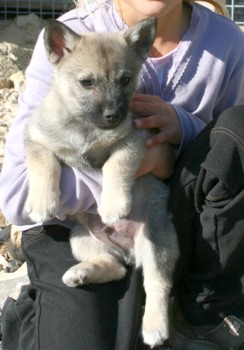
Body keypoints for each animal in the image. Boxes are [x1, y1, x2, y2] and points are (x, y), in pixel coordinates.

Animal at [23, 19, 178, 348]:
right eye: (86, 83)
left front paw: (113, 204)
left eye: (125, 80)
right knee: (115, 268)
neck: (85, 127)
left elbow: (114, 166)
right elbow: (44, 164)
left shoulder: (134, 139)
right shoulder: (36, 138)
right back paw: (83, 272)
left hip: (156, 240)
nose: (113, 115)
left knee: (158, 283)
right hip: (81, 238)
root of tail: (128, 250)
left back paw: (154, 326)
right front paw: (42, 202)